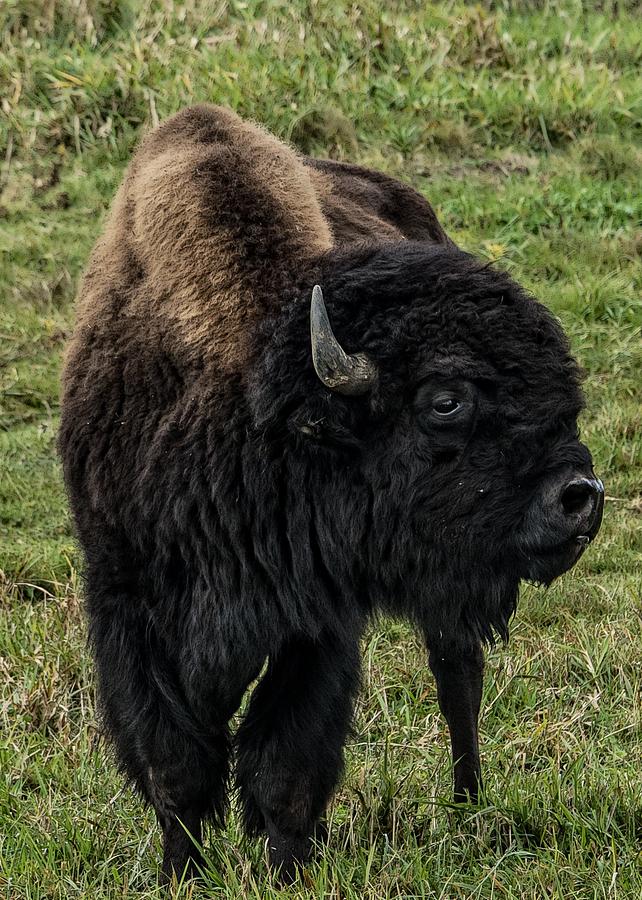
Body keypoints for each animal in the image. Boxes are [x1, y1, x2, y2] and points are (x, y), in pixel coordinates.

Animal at [58, 103, 600, 880]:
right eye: (445, 400)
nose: (580, 498)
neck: (252, 402)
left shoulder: (316, 626)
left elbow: (284, 764)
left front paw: (289, 868)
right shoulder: (124, 600)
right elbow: (174, 763)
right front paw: (182, 872)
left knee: (457, 676)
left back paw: (470, 810)